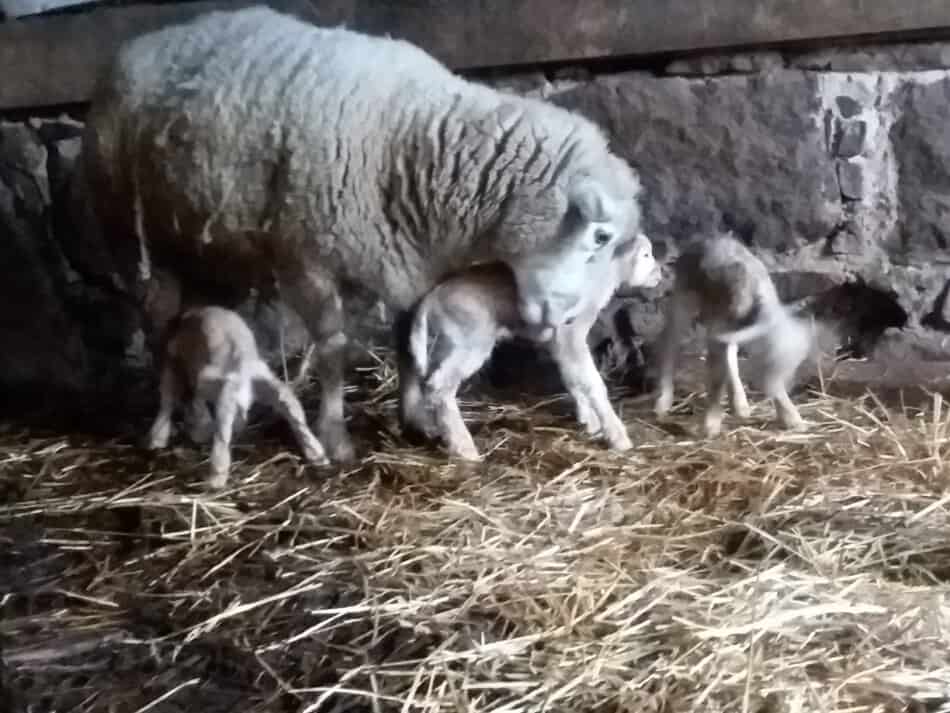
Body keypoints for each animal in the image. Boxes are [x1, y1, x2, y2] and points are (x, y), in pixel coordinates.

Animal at [408, 231, 660, 458]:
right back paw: (464, 448)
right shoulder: (570, 333)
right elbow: (592, 383)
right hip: (470, 341)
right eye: (646, 254)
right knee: (439, 386)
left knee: (427, 381)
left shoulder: (559, 341)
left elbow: (573, 378)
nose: (659, 276)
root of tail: (431, 298)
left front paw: (590, 423)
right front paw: (617, 437)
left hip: (446, 343)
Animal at [656, 231, 820, 436]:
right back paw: (663, 400)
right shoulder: (720, 329)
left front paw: (791, 417)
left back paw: (739, 403)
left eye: (795, 363)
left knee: (729, 353)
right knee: (670, 339)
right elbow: (716, 377)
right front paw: (711, 424)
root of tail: (707, 238)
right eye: (770, 359)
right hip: (684, 299)